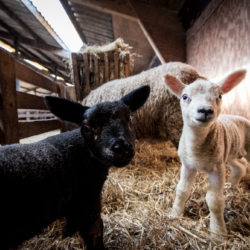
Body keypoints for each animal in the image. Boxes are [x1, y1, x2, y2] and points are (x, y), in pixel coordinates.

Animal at [164, 69, 248, 237]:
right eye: (184, 96)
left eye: (220, 96)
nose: (205, 110)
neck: (197, 151)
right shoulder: (187, 166)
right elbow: (181, 190)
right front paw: (175, 214)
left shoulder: (217, 168)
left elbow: (215, 200)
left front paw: (218, 233)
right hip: (230, 152)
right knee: (240, 167)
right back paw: (232, 187)